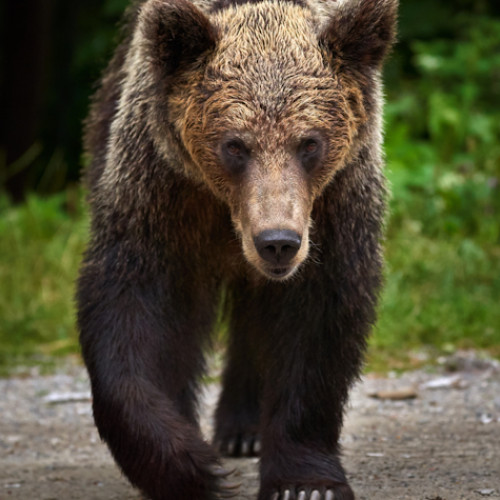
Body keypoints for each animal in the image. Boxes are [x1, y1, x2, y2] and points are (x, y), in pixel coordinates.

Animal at [77, 0, 398, 498]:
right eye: (235, 145)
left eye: (310, 142)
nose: (277, 243)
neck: (226, 210)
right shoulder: (160, 190)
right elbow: (132, 313)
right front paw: (192, 468)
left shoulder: (334, 204)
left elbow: (317, 324)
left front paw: (305, 482)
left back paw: (244, 429)